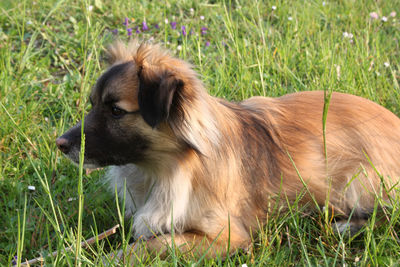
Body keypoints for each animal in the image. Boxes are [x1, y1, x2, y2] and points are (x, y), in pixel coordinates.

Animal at [57, 39, 400, 260]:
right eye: (92, 105)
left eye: (115, 111)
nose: (60, 144)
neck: (170, 167)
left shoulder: (228, 237)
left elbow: (154, 245)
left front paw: (109, 257)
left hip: (357, 180)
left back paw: (345, 227)